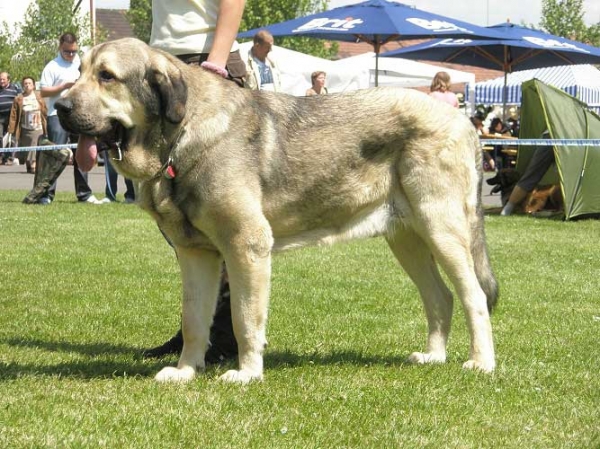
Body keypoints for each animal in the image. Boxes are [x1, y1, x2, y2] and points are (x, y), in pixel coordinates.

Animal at [56, 38, 500, 382]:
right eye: (79, 71)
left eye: (107, 76)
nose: (60, 106)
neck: (180, 136)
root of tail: (463, 121)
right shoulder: (196, 254)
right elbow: (194, 319)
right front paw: (185, 372)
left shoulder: (246, 246)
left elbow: (244, 317)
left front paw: (247, 373)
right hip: (406, 239)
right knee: (440, 297)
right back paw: (433, 356)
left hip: (441, 229)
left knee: (473, 296)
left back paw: (481, 363)